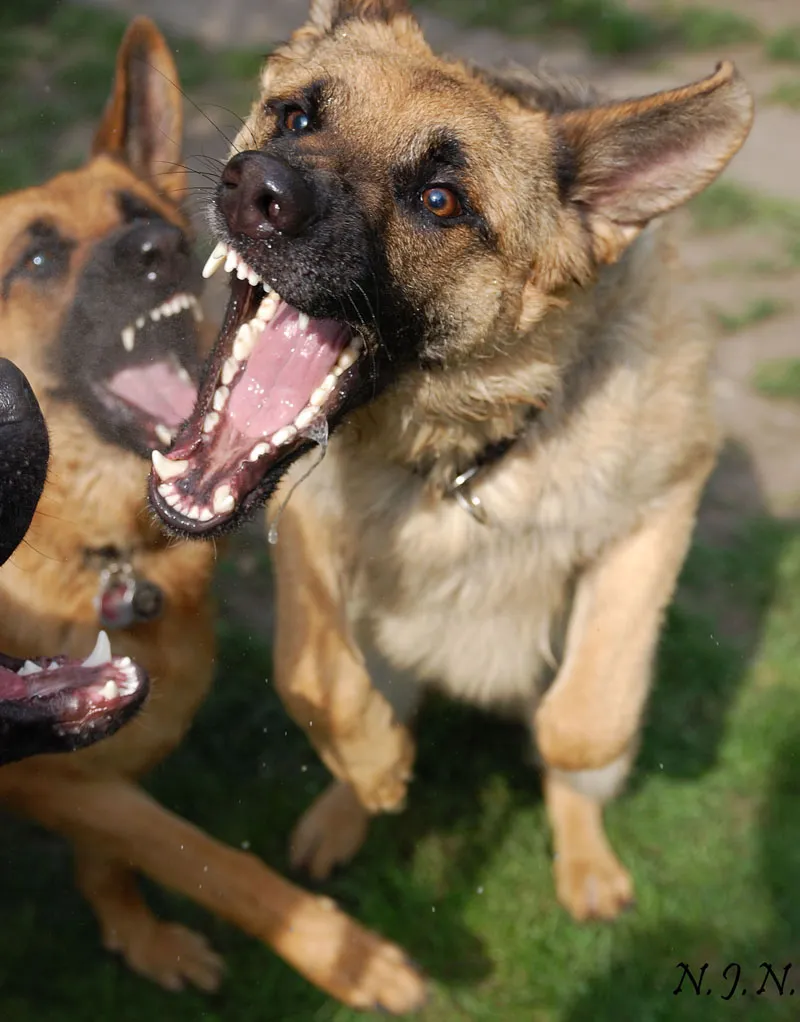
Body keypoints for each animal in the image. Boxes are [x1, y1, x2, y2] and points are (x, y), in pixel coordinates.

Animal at [148, 0, 751, 923]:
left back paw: (584, 861)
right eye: (297, 117)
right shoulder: (307, 522)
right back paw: (343, 812)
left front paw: (559, 756)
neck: (459, 454)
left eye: (441, 200)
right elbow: (309, 674)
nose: (257, 191)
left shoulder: (663, 504)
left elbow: (586, 719)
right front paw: (371, 765)